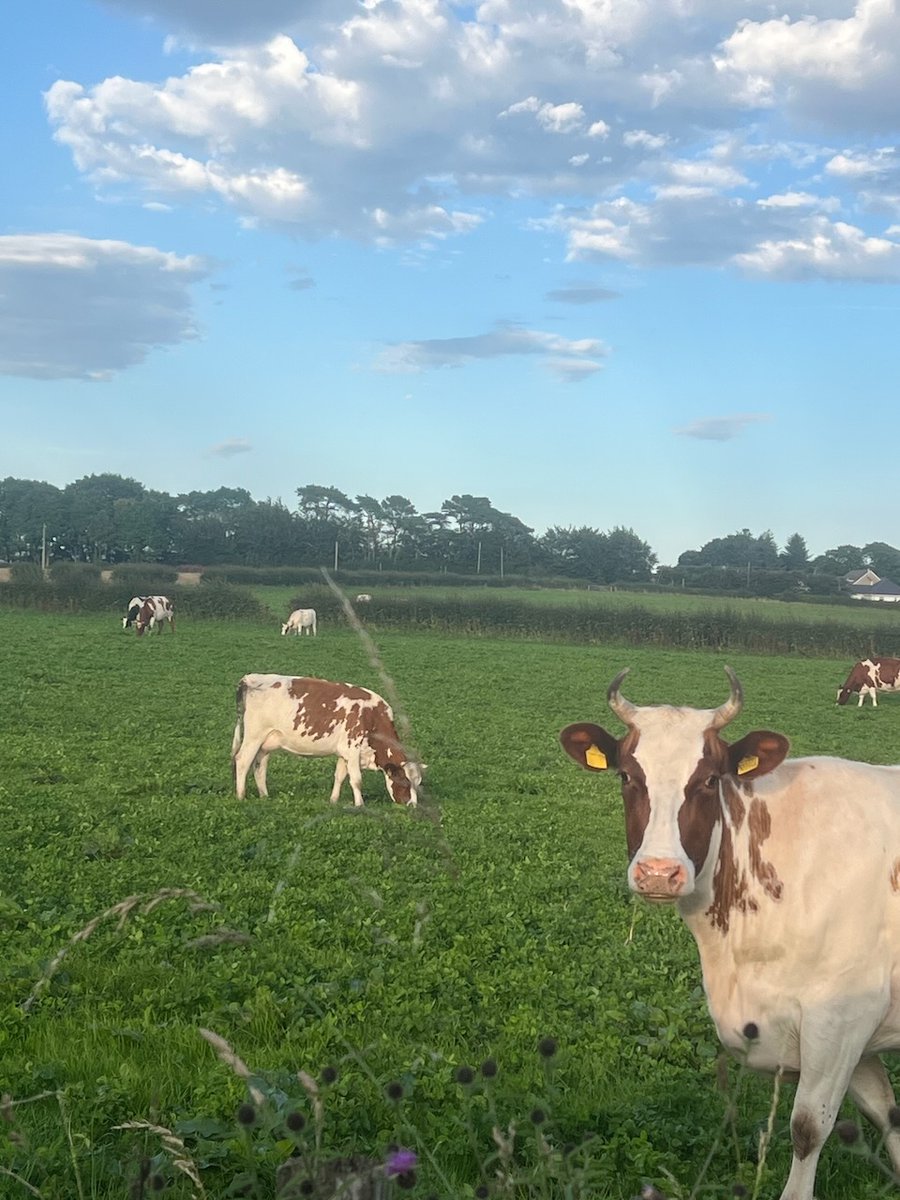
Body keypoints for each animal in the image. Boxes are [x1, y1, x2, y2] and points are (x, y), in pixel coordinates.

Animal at [231, 674, 423, 807]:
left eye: (418, 783)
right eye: (405, 781)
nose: (412, 806)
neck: (371, 717)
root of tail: (251, 678)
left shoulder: (344, 752)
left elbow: (339, 776)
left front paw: (333, 800)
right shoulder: (353, 749)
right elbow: (356, 779)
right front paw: (360, 805)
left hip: (266, 742)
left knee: (259, 765)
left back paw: (264, 795)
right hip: (254, 736)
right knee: (242, 761)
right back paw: (241, 796)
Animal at [560, 666, 900, 1200]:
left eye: (707, 780)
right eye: (627, 776)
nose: (659, 873)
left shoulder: (842, 1016)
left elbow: (808, 1127)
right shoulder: (860, 1033)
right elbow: (888, 1117)